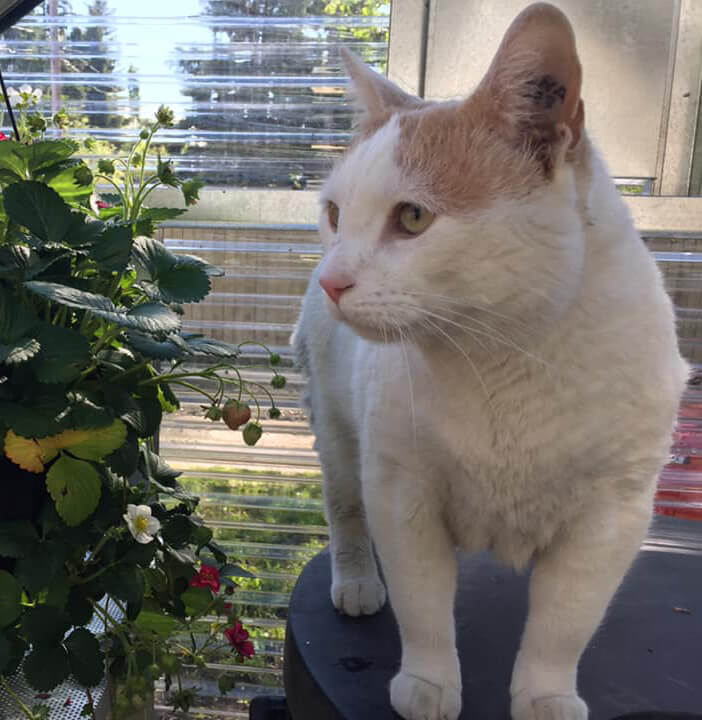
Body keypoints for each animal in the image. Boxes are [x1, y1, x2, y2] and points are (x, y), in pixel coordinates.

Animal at [290, 2, 688, 716]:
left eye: (412, 218)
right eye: (334, 213)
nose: (332, 281)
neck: (504, 358)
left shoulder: (612, 517)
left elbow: (565, 623)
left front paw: (546, 695)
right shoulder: (403, 492)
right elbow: (423, 606)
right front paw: (428, 684)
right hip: (337, 434)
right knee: (346, 510)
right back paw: (359, 578)